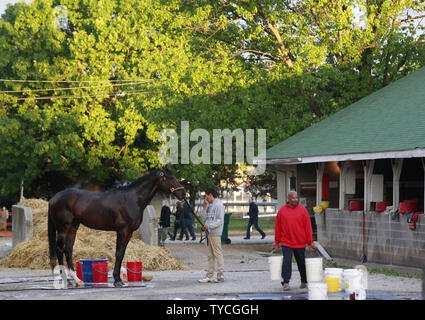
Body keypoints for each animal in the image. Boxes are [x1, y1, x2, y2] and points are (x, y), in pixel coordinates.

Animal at [47, 166, 185, 286]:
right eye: (171, 178)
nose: (183, 194)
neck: (132, 198)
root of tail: (54, 198)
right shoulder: (122, 230)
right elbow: (118, 254)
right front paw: (117, 281)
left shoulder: (128, 232)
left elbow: (122, 253)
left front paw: (118, 279)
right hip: (63, 228)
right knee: (59, 250)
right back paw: (64, 279)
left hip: (73, 227)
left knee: (68, 250)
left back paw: (76, 279)